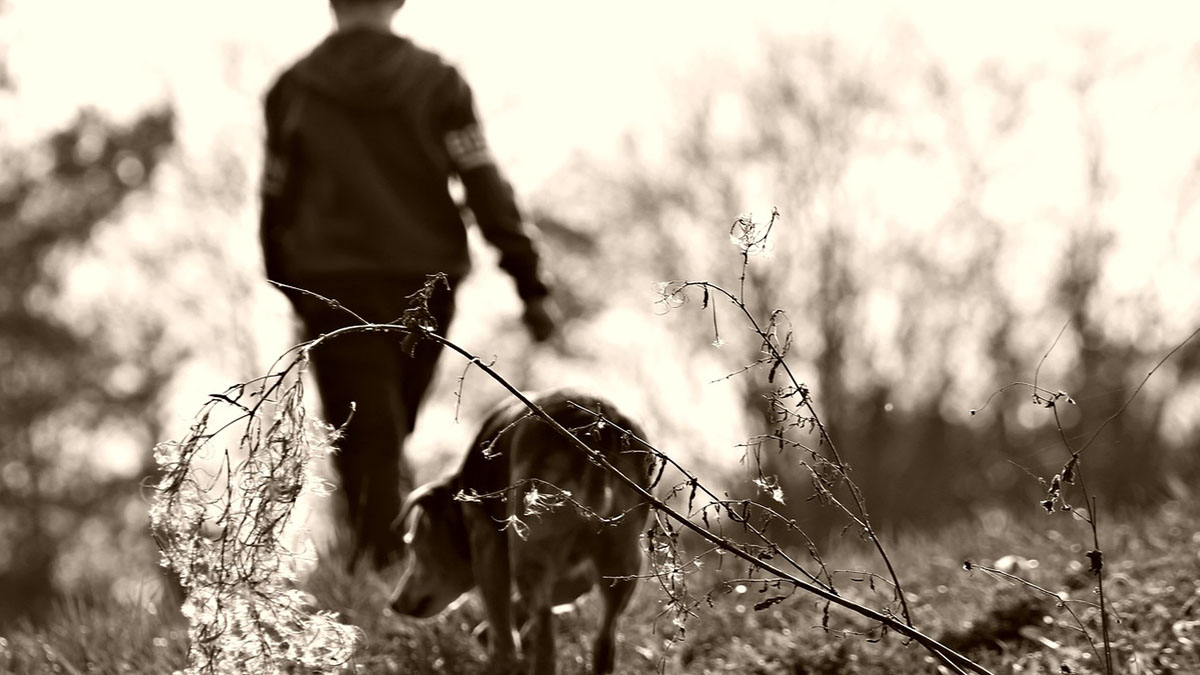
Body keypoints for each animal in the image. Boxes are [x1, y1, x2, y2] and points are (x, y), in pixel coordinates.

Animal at [388, 389, 652, 672]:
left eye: (412, 544)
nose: (394, 603)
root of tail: (600, 432)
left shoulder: (487, 543)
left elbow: (499, 617)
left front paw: (500, 655)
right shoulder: (585, 571)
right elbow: (565, 590)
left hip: (530, 548)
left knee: (545, 631)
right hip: (623, 562)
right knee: (604, 637)